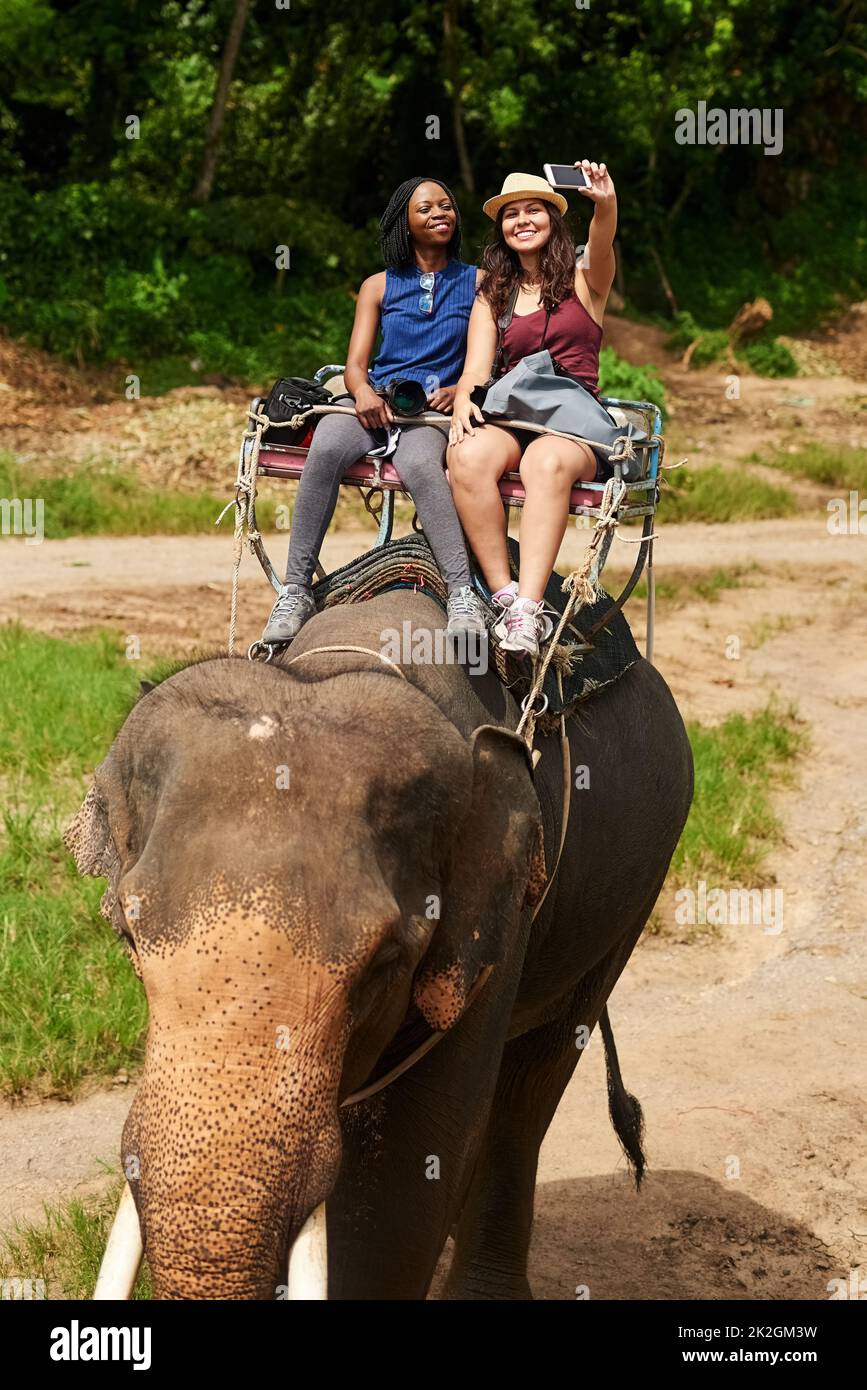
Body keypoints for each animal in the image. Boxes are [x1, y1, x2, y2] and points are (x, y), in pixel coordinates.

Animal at [65, 589, 691, 1301]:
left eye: (384, 965)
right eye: (129, 937)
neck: (340, 663)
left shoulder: (500, 921)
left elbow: (409, 1171)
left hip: (634, 895)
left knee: (533, 1081)